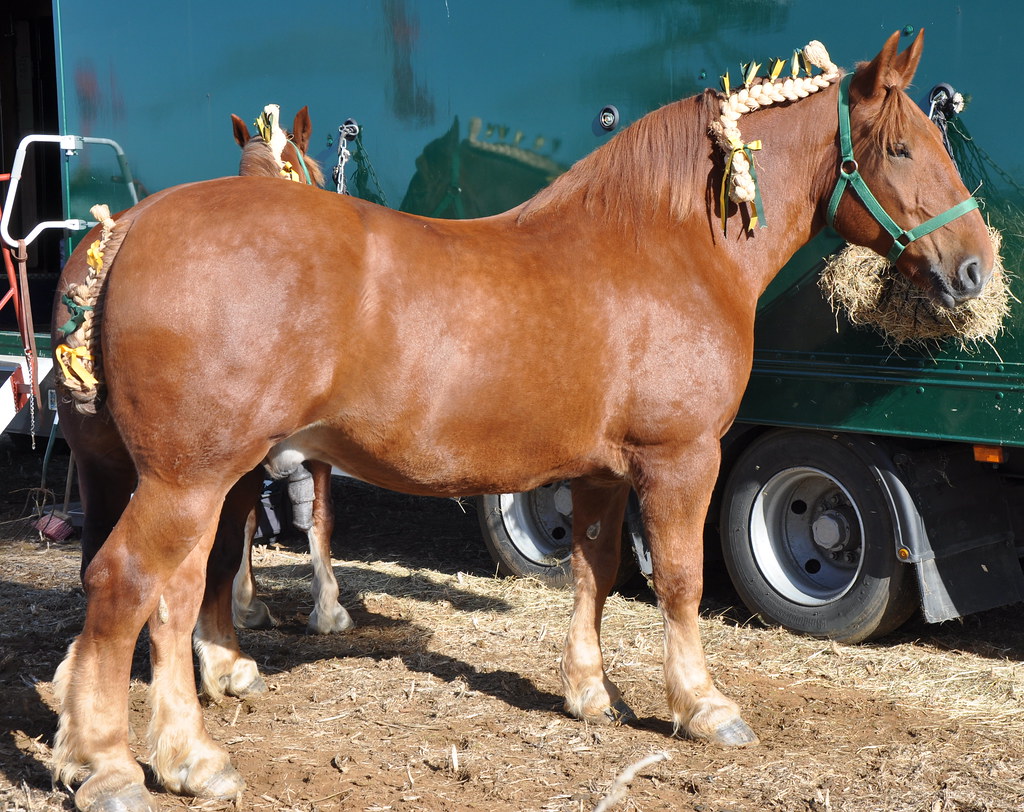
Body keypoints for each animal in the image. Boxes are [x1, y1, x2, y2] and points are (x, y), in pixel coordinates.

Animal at [49, 32, 991, 811]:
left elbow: (595, 573)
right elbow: (680, 582)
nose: (976, 266)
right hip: (191, 477)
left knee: (169, 596)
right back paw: (114, 767)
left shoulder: (603, 471)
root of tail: (130, 226)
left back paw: (176, 753)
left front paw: (589, 694)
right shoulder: (682, 458)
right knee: (129, 586)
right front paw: (703, 705)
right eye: (902, 148)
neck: (667, 244)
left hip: (175, 475)